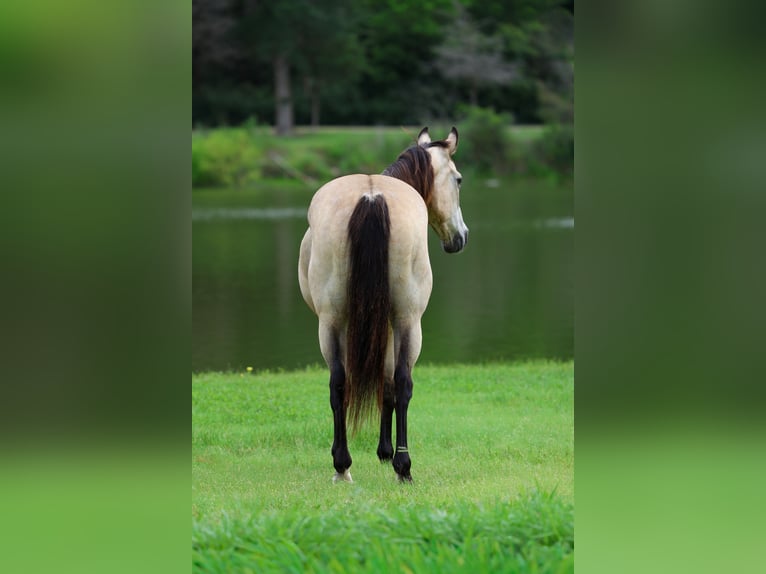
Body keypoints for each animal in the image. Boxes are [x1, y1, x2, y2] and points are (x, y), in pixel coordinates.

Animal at [298, 127, 469, 483]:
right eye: (458, 179)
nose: (460, 237)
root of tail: (372, 198)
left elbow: (379, 383)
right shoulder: (394, 323)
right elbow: (389, 384)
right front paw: (386, 452)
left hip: (336, 321)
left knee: (340, 383)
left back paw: (345, 466)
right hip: (406, 321)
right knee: (398, 383)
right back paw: (398, 467)